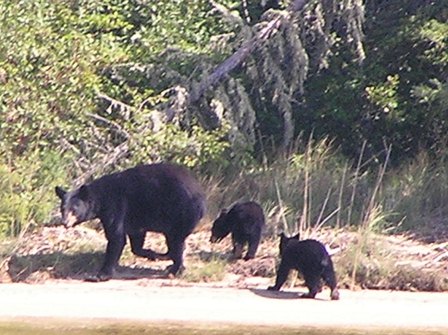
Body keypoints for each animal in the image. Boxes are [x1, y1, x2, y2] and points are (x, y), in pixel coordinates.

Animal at [54, 163, 206, 280]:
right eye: (62, 209)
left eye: (74, 209)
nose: (65, 223)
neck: (101, 199)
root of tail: (201, 195)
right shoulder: (135, 218)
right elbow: (136, 240)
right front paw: (152, 254)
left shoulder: (115, 206)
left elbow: (116, 237)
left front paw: (101, 275)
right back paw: (168, 259)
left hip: (181, 212)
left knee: (176, 241)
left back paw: (175, 269)